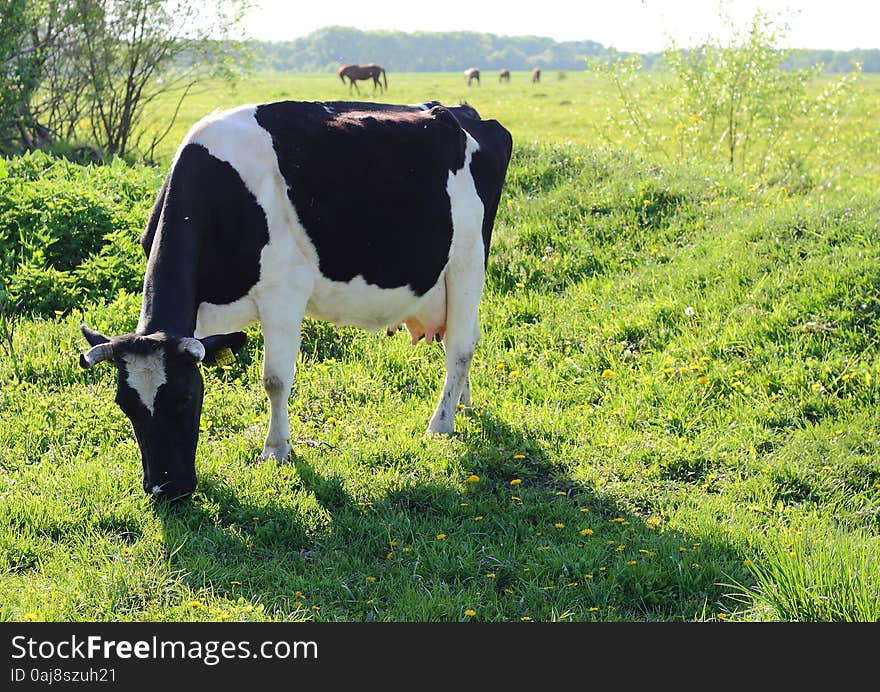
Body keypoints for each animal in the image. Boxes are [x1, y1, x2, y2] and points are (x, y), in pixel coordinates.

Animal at [81, 100, 516, 500]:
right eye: (125, 405)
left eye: (186, 399)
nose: (164, 490)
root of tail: (461, 112)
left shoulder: (284, 294)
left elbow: (274, 380)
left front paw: (276, 450)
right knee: (466, 340)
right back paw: (463, 404)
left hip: (467, 262)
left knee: (459, 347)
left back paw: (440, 424)